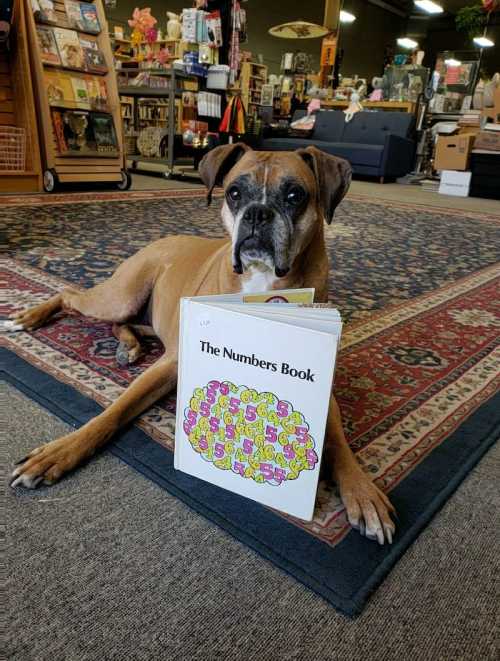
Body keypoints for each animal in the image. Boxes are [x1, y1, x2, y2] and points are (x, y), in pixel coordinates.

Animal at [7, 144, 396, 540]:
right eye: (234, 193)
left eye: (294, 195)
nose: (257, 213)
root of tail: (162, 240)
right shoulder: (171, 364)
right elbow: (113, 411)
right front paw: (60, 452)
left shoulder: (323, 383)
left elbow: (338, 441)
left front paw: (363, 493)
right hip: (121, 296)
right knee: (70, 295)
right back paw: (28, 317)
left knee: (123, 324)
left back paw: (128, 345)